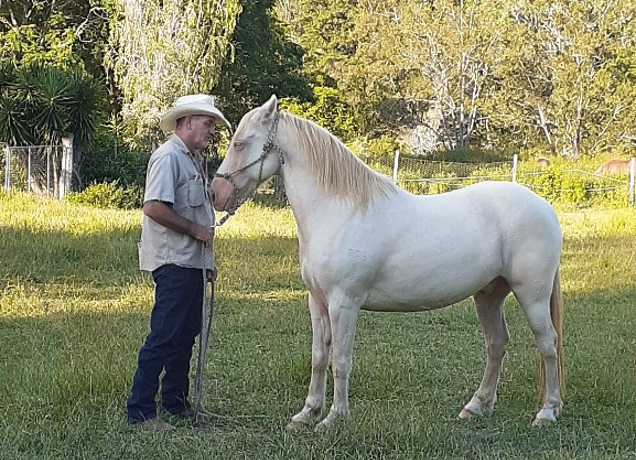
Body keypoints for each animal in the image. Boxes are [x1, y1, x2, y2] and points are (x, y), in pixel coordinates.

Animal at [211, 95, 564, 432]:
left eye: (240, 143)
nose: (216, 194)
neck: (338, 212)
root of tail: (544, 206)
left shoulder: (344, 303)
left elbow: (341, 359)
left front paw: (334, 418)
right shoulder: (318, 302)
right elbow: (318, 357)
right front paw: (306, 414)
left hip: (531, 295)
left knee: (548, 344)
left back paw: (547, 412)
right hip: (489, 295)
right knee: (496, 344)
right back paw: (476, 407)